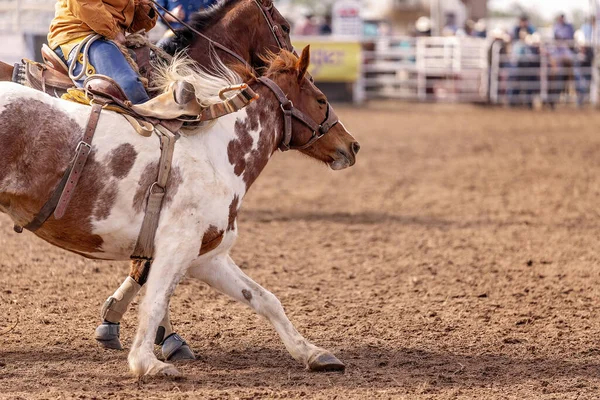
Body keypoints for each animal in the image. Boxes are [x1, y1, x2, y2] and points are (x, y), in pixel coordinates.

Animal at [0, 48, 360, 376]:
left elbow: (264, 299)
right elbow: (155, 301)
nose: (353, 145)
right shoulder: (177, 247)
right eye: (320, 100)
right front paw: (147, 362)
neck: (216, 153)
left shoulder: (207, 257)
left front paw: (312, 353)